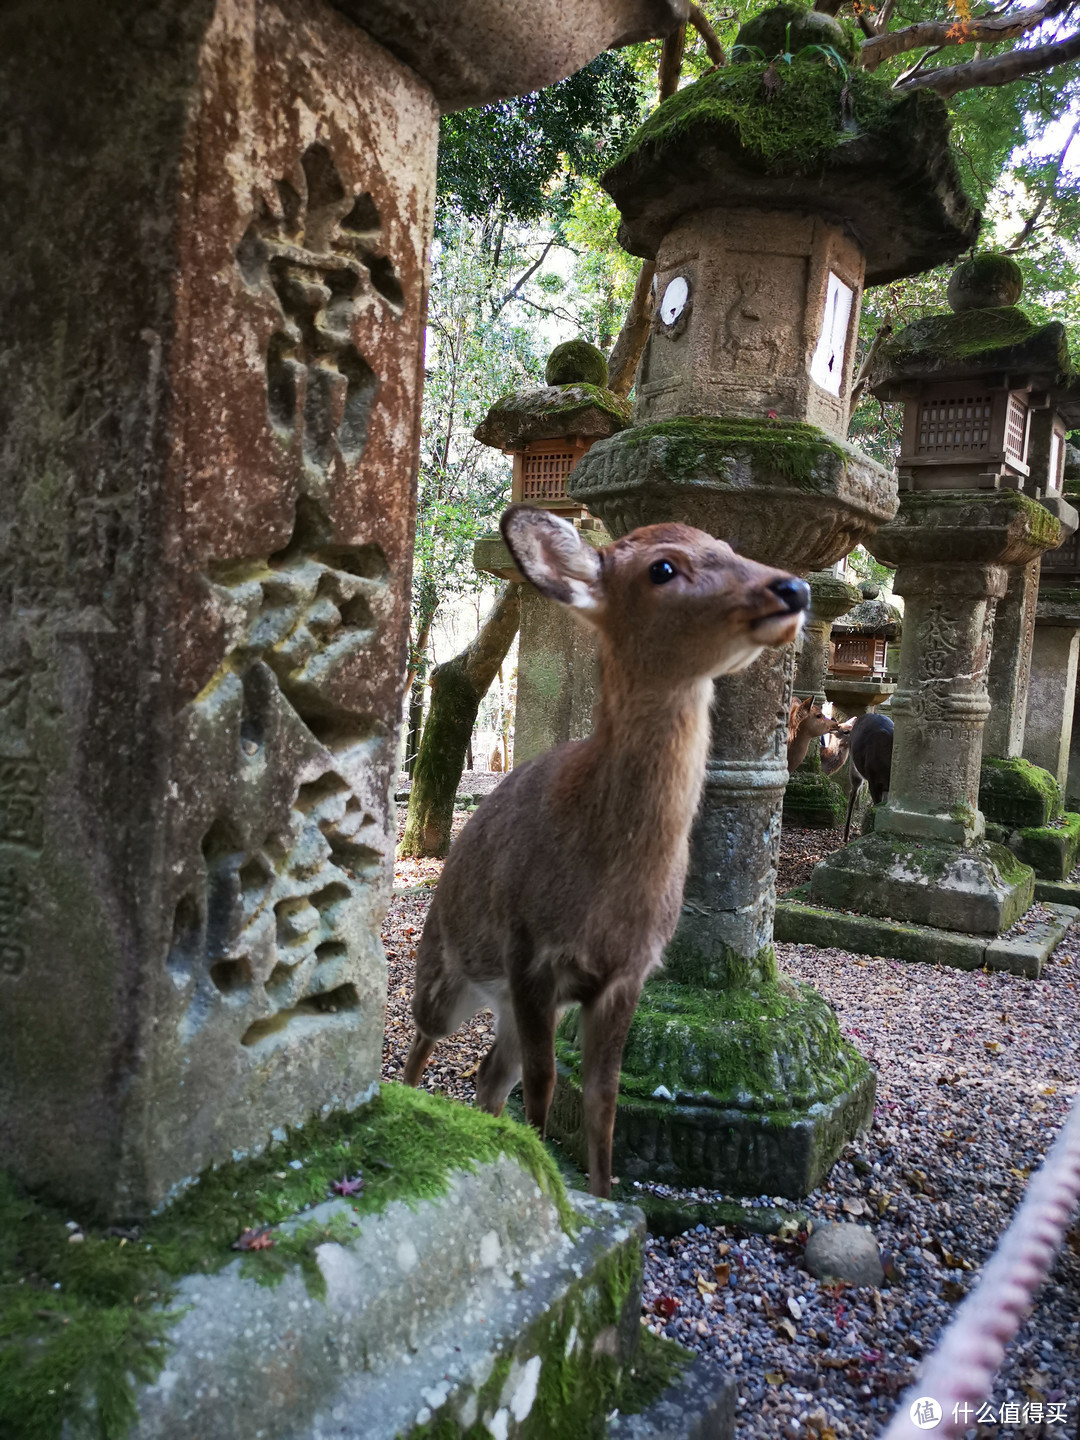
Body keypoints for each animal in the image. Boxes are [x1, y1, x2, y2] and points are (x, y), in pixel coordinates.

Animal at [406, 501, 812, 1198]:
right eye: (663, 568)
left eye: (731, 546)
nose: (793, 588)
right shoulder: (529, 949)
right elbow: (546, 1083)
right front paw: (558, 1182)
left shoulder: (629, 971)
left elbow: (603, 1100)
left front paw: (597, 1192)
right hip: (445, 966)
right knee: (421, 1037)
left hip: (503, 1002)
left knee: (490, 1071)